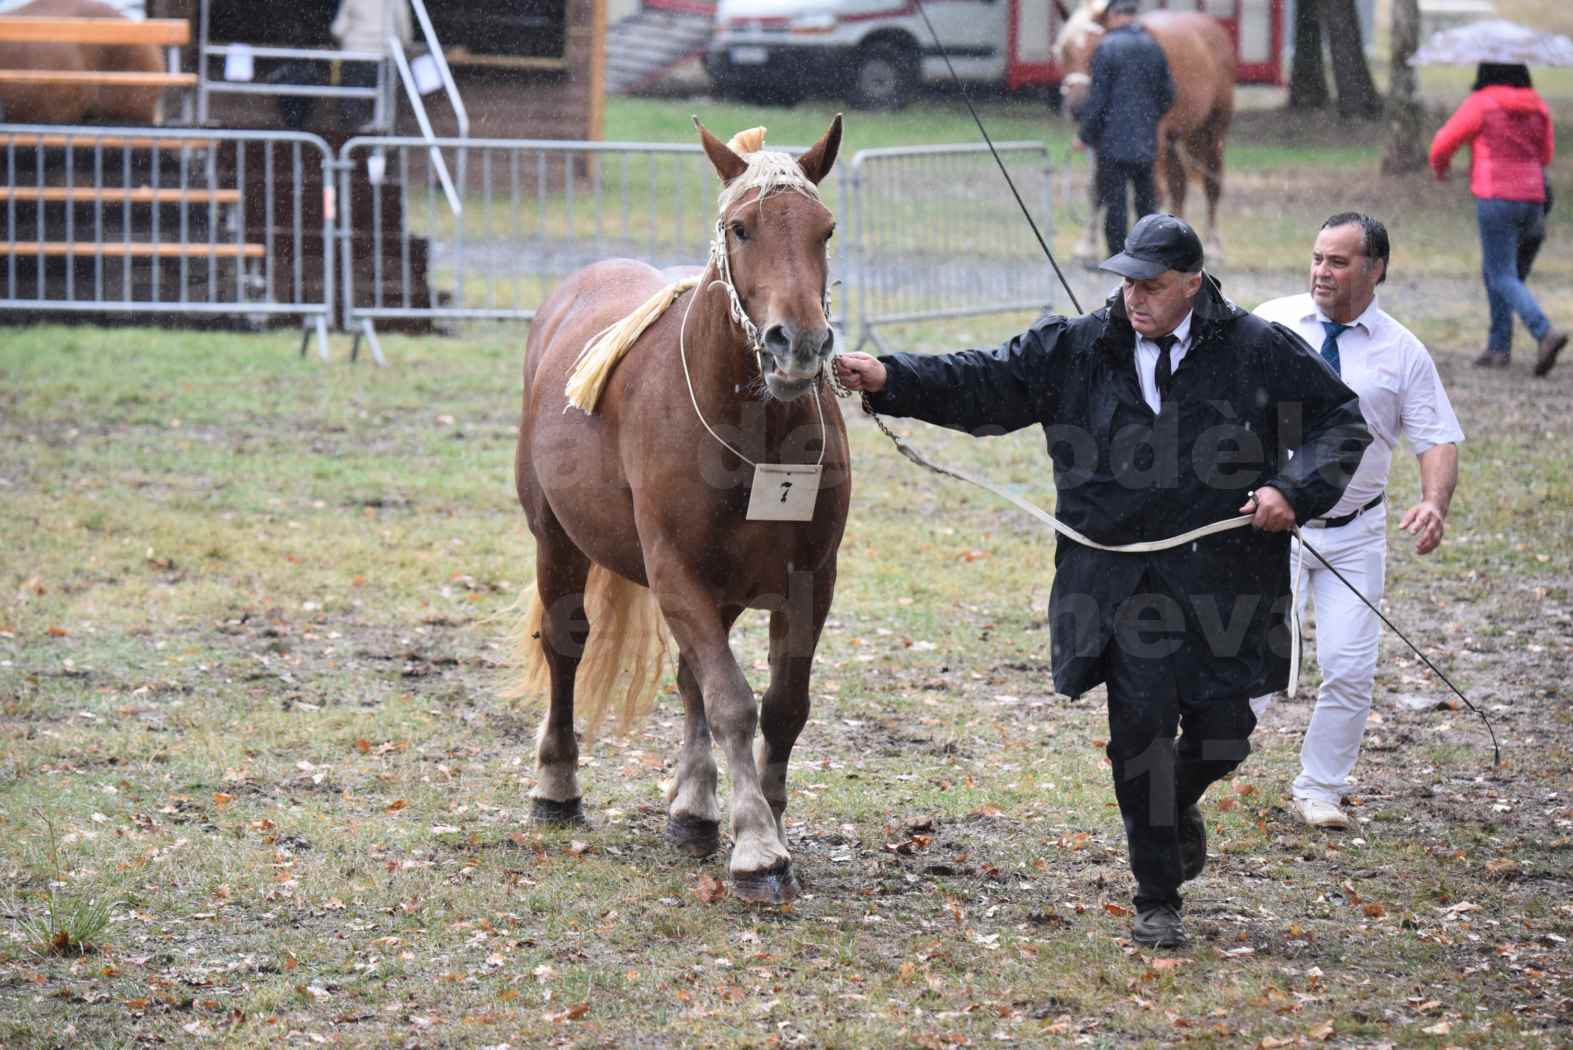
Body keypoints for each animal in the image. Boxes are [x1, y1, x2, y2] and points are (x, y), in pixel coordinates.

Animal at [506, 114, 849, 905]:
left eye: (824, 230)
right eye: (741, 227)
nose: (799, 344)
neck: (750, 427)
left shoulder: (810, 579)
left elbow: (782, 704)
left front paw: (763, 817)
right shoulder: (675, 574)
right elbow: (731, 701)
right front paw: (758, 849)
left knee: (693, 678)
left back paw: (693, 809)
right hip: (556, 541)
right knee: (567, 645)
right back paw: (557, 786)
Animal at [1063, 0, 1233, 262]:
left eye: (1094, 49)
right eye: (1064, 52)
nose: (1077, 108)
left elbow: (1152, 193)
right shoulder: (1101, 144)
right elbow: (1097, 189)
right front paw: (1087, 246)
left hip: (1212, 132)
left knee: (1211, 185)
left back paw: (1213, 246)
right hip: (1173, 141)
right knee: (1179, 186)